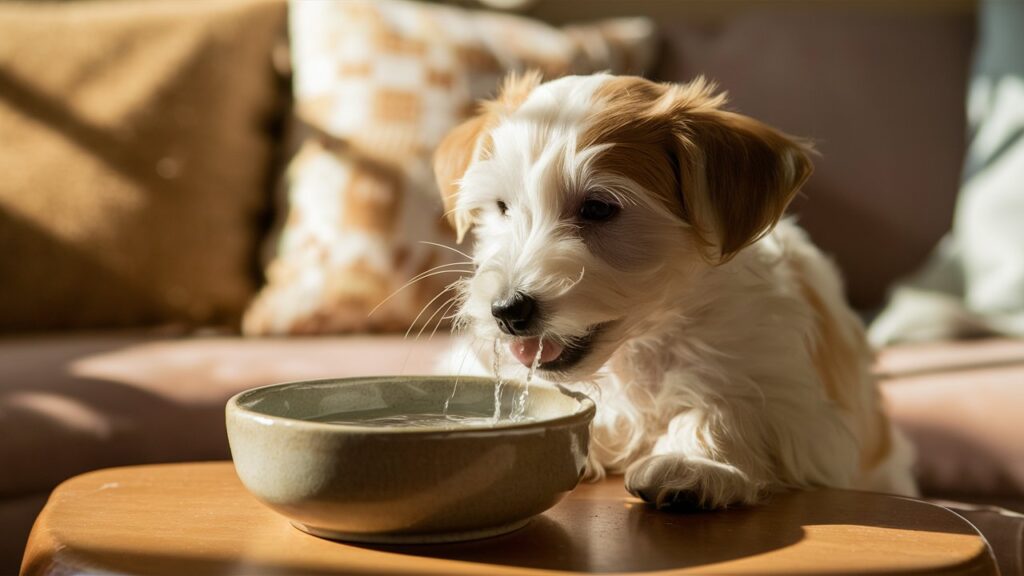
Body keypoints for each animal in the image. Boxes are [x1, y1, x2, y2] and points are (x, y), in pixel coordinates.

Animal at [432, 71, 921, 506]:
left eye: (598, 208)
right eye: (502, 207)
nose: (506, 310)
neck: (636, 350)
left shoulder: (802, 408)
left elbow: (732, 406)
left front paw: (693, 464)